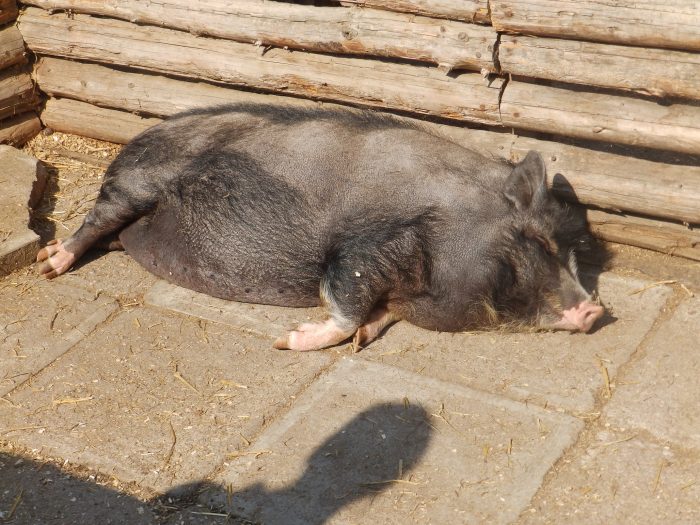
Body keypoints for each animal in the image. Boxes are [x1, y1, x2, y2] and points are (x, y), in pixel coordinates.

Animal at [37, 103, 604, 351]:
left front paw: (365, 337)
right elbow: (347, 301)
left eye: (568, 250)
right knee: (92, 221)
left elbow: (377, 317)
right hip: (134, 184)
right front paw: (289, 341)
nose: (594, 308)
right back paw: (50, 265)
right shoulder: (365, 251)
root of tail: (137, 138)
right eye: (529, 243)